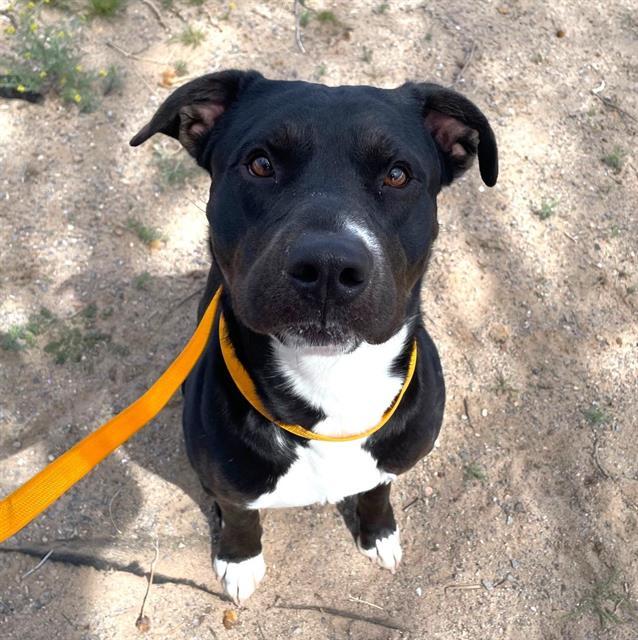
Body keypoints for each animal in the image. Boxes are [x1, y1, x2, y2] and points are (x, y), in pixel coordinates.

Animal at [130, 71, 500, 604]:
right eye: (261, 164)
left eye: (397, 175)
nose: (328, 267)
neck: (330, 382)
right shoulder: (229, 481)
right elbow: (240, 514)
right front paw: (239, 559)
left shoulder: (393, 459)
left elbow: (378, 489)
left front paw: (378, 531)